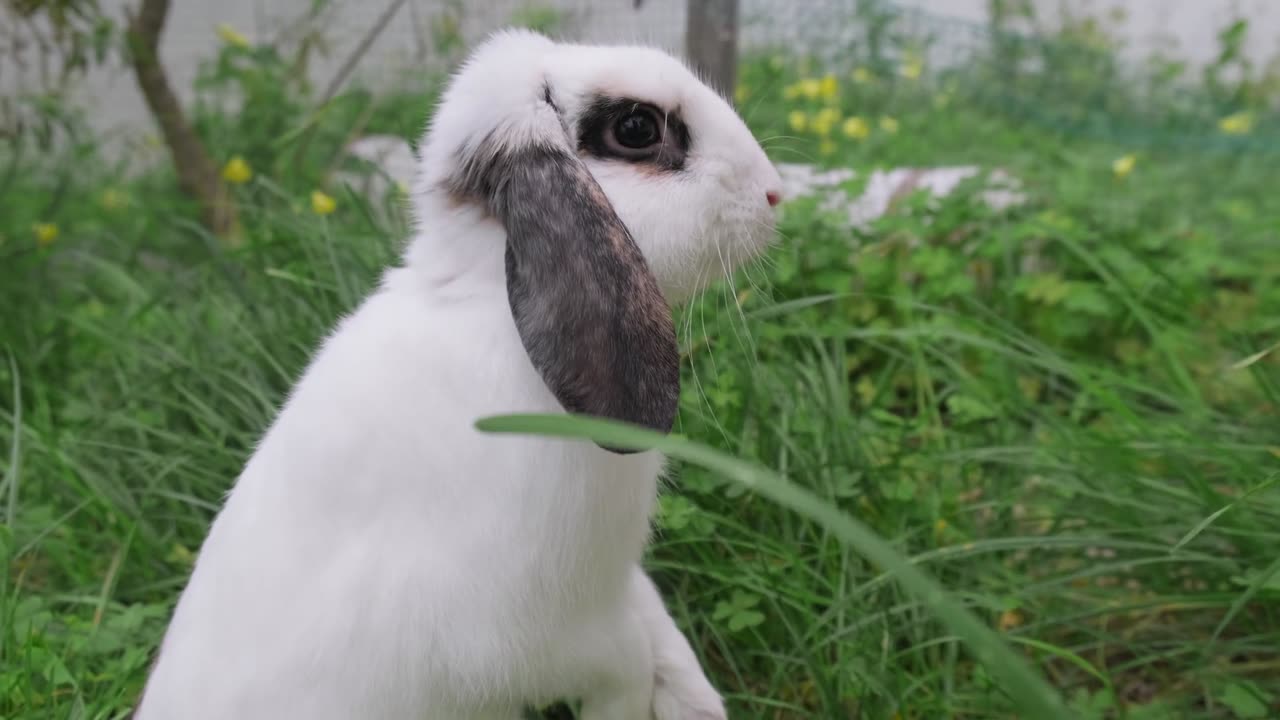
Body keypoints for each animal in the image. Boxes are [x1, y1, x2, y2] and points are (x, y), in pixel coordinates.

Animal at [135, 28, 783, 717]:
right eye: (636, 128)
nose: (775, 193)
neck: (492, 309)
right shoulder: (530, 638)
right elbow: (626, 662)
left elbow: (652, 619)